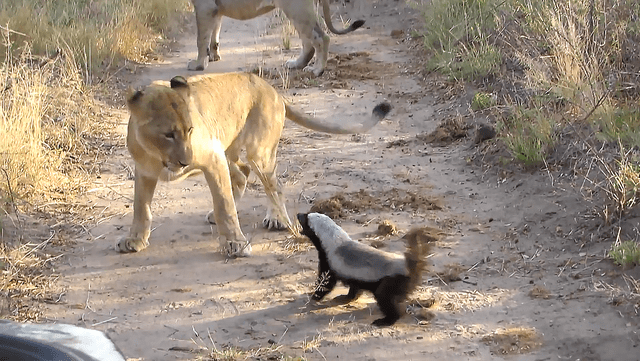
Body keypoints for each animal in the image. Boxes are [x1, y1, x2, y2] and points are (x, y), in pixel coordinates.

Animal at [117, 71, 392, 255]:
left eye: (190, 130)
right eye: (168, 134)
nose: (185, 162)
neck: (157, 156)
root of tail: (272, 89)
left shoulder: (212, 157)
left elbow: (224, 204)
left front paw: (235, 244)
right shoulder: (144, 171)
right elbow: (141, 208)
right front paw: (135, 240)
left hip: (259, 152)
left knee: (274, 185)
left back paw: (277, 219)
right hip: (232, 150)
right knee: (241, 174)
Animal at [188, 0, 362, 75]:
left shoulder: (205, 7)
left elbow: (201, 39)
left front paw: (198, 65)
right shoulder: (215, 9)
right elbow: (214, 34)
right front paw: (213, 57)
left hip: (296, 8)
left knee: (321, 38)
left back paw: (317, 70)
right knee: (308, 42)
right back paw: (296, 64)